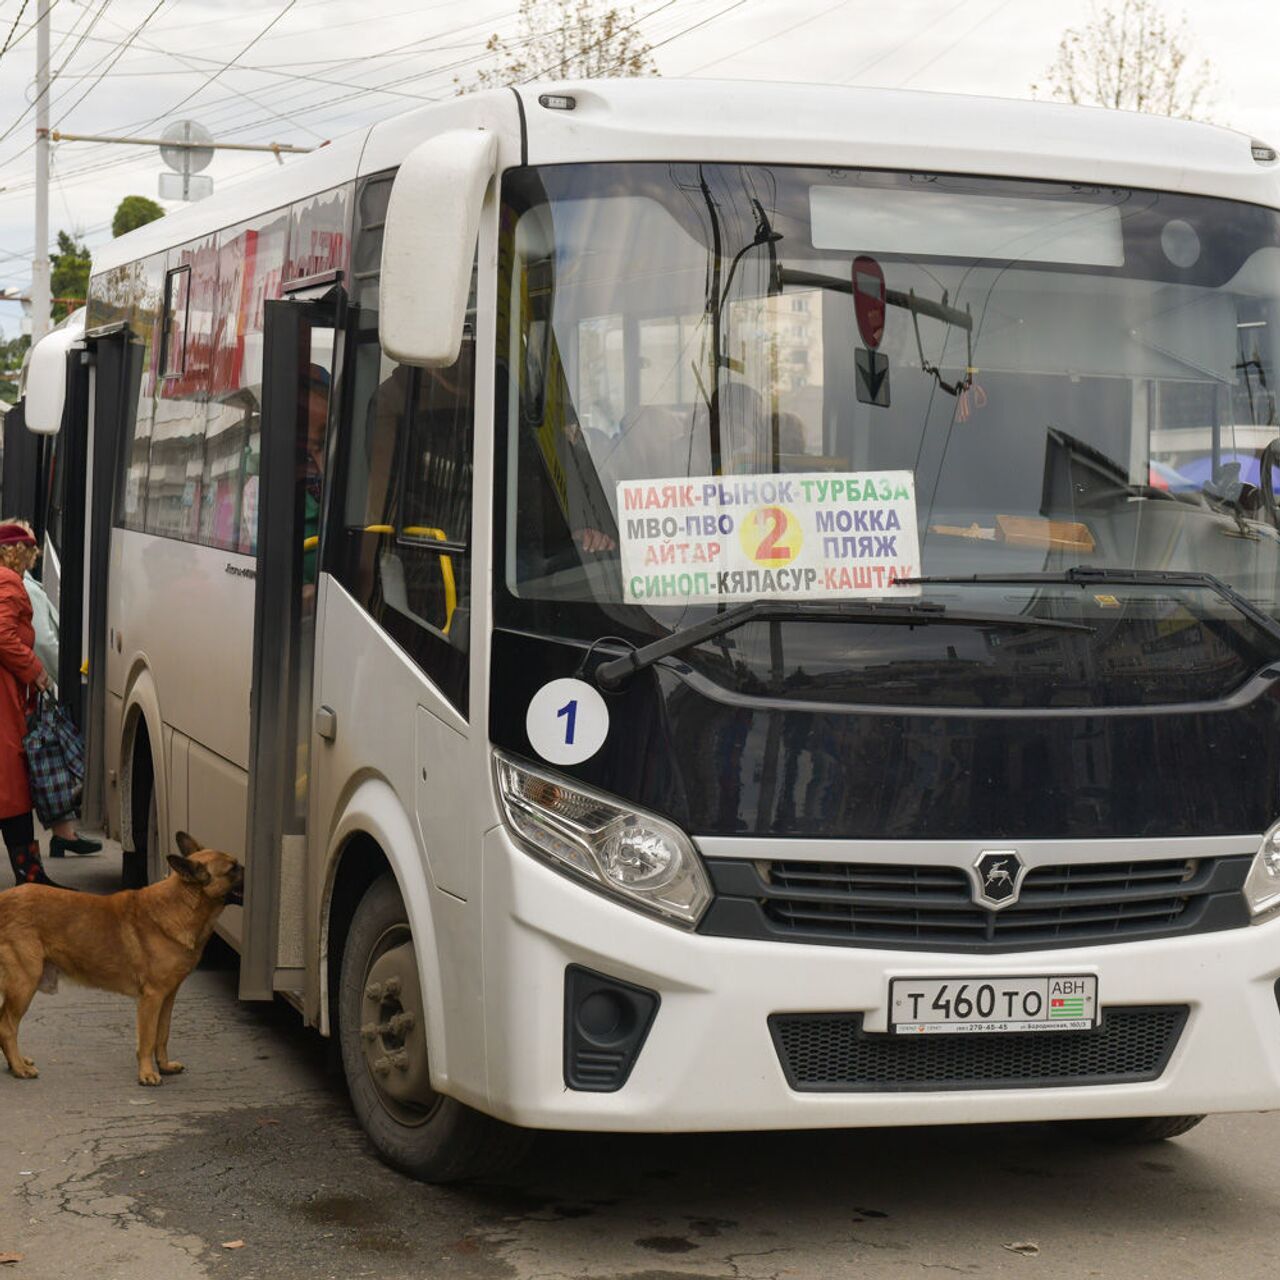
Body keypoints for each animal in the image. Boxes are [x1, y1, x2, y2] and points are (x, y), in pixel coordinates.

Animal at [0, 834, 241, 1085]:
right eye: (233, 869)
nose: (247, 869)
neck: (181, 905)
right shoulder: (152, 998)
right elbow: (148, 1039)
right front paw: (147, 1073)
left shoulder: (167, 998)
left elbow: (162, 1035)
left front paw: (164, 1066)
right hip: (24, 985)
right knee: (7, 1027)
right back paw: (19, 1068)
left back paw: (16, 1062)